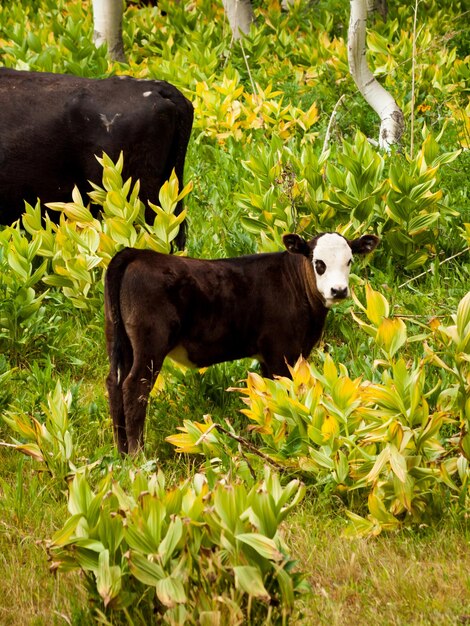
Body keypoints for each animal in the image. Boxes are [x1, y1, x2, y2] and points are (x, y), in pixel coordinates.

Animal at [104, 232, 380, 450]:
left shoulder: (269, 356)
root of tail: (136, 254)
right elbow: (283, 395)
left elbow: (269, 397)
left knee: (114, 384)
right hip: (151, 343)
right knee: (134, 387)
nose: (339, 290)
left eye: (349, 261)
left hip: (119, 340)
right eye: (319, 263)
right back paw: (138, 454)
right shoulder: (282, 352)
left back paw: (122, 452)